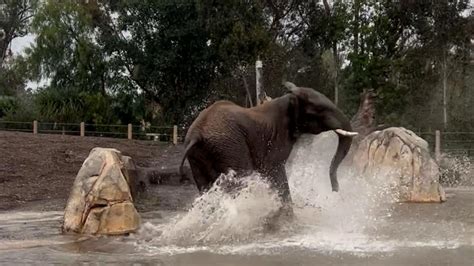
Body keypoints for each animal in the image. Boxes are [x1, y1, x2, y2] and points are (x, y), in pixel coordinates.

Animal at [180, 81, 358, 208]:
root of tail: (197, 134)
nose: (334, 192)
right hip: (229, 145)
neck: (287, 99)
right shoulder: (276, 140)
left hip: (199, 156)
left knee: (206, 186)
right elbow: (275, 171)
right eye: (319, 110)